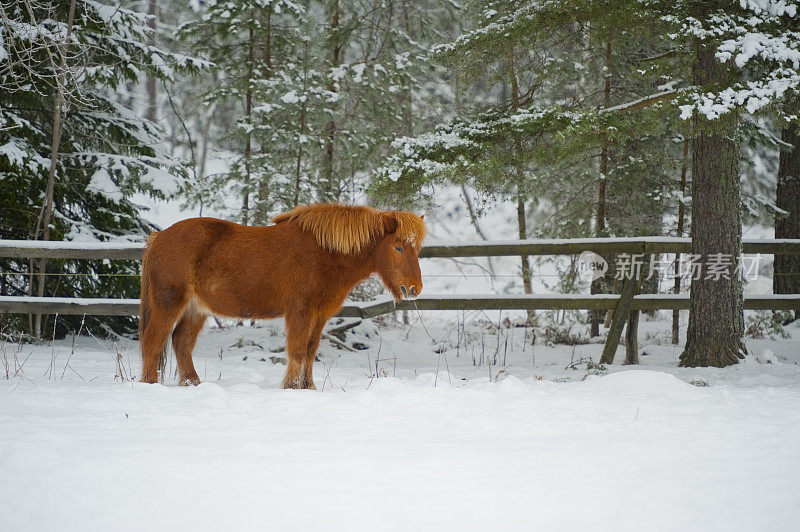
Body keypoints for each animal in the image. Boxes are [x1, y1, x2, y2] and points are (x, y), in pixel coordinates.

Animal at [139, 202, 424, 388]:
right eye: (398, 247)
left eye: (417, 248)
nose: (414, 288)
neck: (325, 254)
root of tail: (159, 237)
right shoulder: (300, 311)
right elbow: (297, 350)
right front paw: (291, 386)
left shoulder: (320, 315)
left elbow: (310, 350)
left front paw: (308, 387)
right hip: (169, 302)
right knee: (153, 341)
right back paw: (151, 384)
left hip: (196, 309)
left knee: (181, 342)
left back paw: (193, 383)